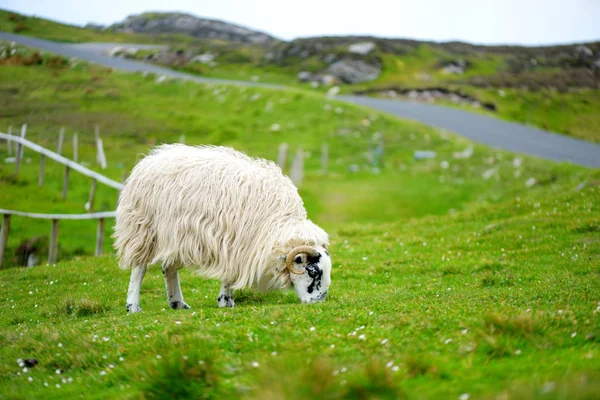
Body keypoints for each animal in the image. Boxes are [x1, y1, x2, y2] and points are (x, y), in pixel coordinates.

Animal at [113, 145, 332, 312]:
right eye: (313, 272)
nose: (318, 302)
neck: (277, 224)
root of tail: (149, 159)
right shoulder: (235, 242)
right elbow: (231, 274)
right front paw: (226, 301)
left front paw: (226, 300)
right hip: (144, 229)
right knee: (139, 269)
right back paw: (133, 306)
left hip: (176, 236)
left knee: (169, 268)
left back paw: (178, 303)